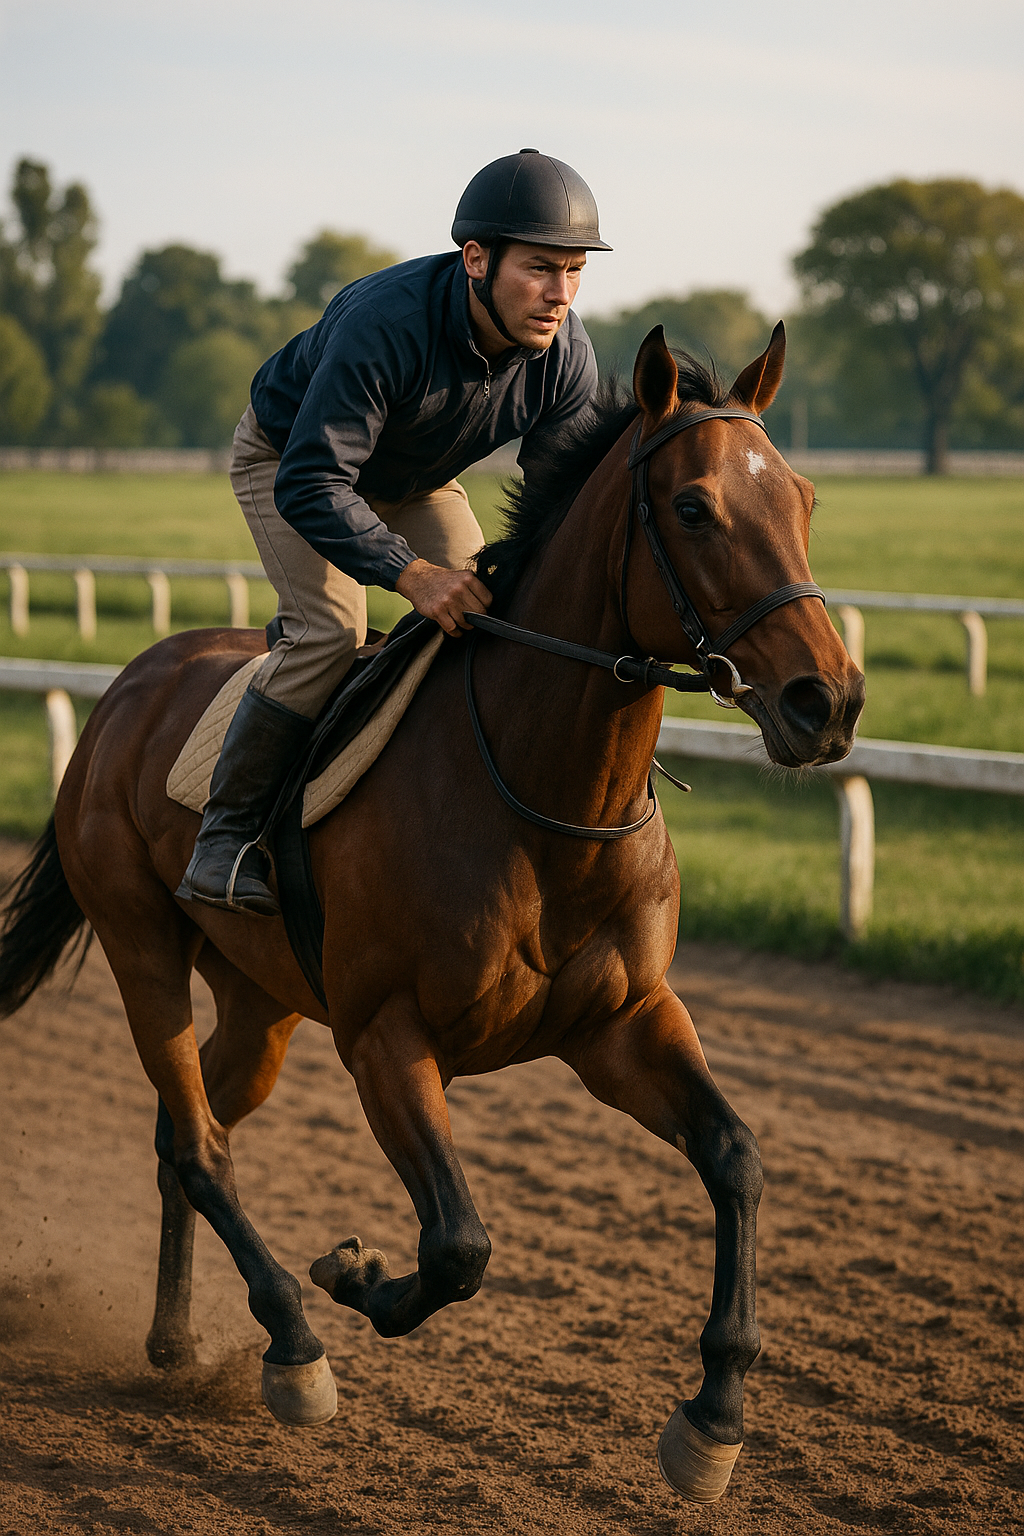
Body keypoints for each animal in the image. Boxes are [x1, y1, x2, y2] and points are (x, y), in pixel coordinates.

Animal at [0, 323, 864, 1504]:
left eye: (805, 497)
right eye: (693, 508)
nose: (828, 703)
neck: (541, 795)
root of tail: (126, 687)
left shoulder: (623, 1021)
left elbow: (735, 1156)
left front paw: (714, 1418)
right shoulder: (384, 1037)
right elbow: (457, 1243)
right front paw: (353, 1273)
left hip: (261, 1001)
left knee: (186, 1132)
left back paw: (175, 1343)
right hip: (142, 950)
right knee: (204, 1144)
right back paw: (292, 1345)